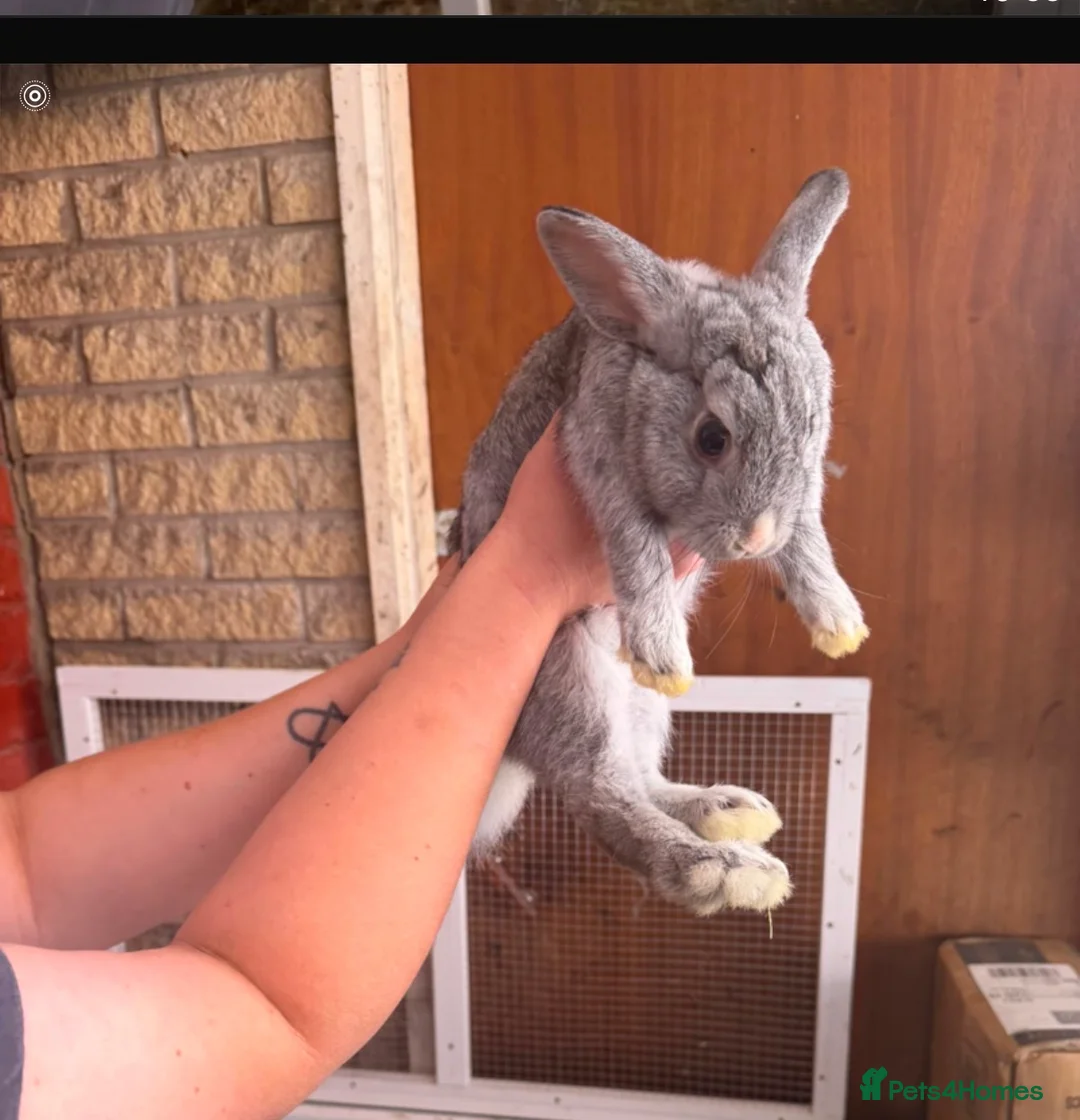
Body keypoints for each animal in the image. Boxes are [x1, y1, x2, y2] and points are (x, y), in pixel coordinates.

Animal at [450, 168, 868, 918]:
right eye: (712, 437)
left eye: (813, 426)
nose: (756, 535)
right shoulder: (600, 467)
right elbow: (637, 549)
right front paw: (664, 654)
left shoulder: (801, 505)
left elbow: (809, 538)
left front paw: (839, 624)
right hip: (569, 675)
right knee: (603, 794)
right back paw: (722, 869)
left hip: (640, 711)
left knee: (642, 779)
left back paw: (729, 811)